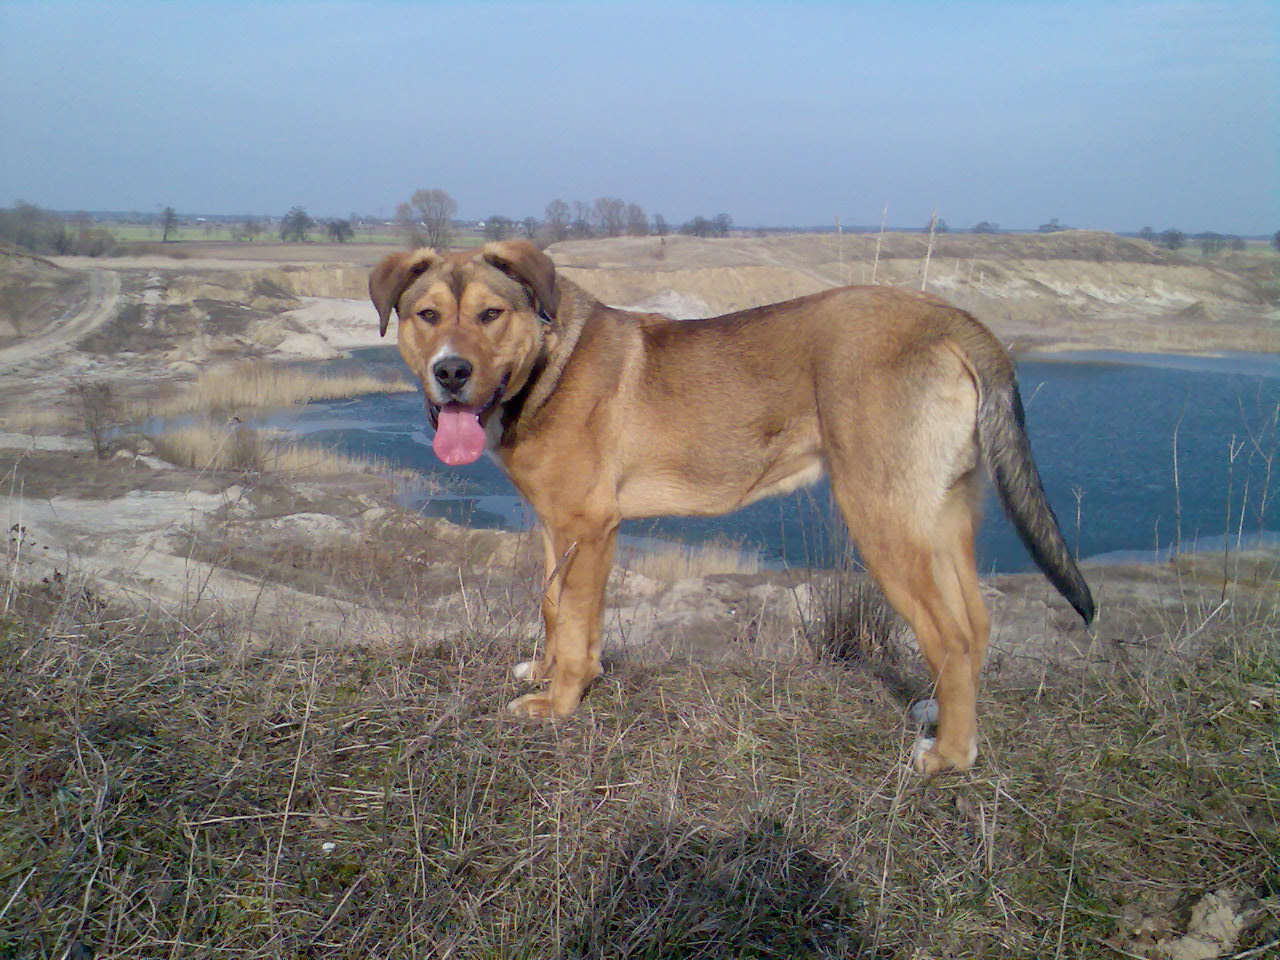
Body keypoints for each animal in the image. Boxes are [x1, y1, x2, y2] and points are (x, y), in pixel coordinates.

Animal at [368, 240, 1090, 773]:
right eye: (426, 315)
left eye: (492, 314)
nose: (451, 373)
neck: (547, 362)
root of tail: (953, 318)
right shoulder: (558, 525)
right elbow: (555, 608)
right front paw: (549, 673)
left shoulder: (590, 525)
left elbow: (573, 623)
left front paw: (561, 700)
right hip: (940, 515)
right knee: (976, 628)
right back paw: (940, 717)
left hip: (884, 517)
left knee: (952, 637)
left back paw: (948, 756)